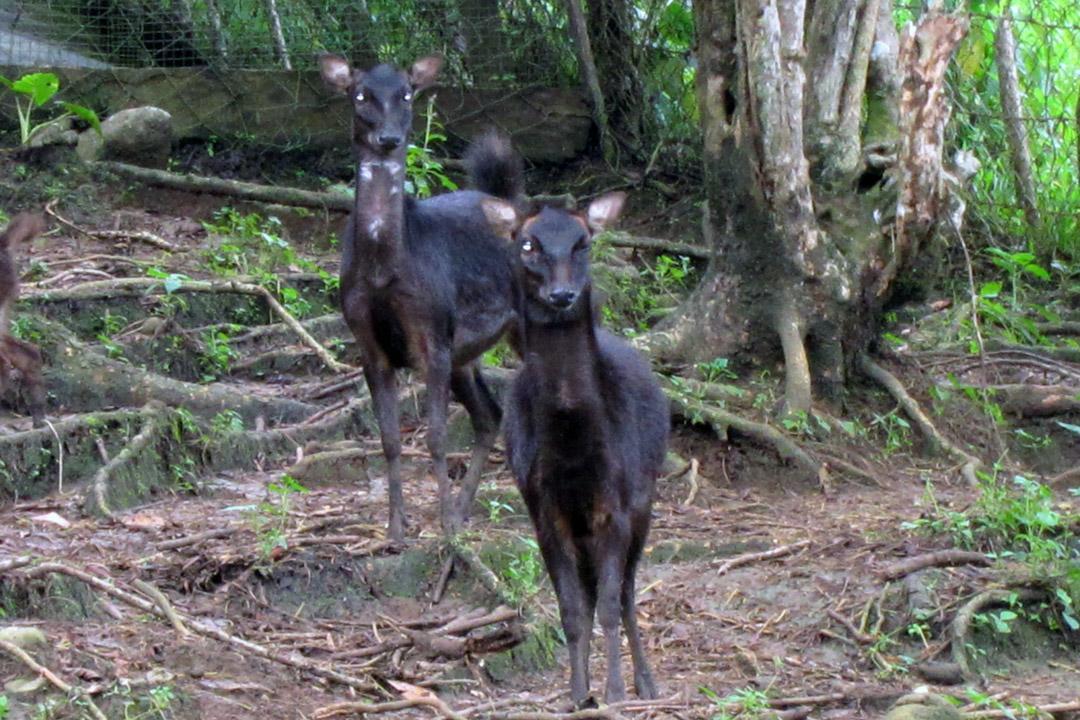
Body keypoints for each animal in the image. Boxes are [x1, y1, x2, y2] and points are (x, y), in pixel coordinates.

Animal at [317, 55, 520, 539]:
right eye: (360, 94)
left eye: (407, 94)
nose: (389, 138)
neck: (383, 272)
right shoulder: (368, 340)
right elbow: (389, 440)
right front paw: (396, 528)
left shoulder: (432, 330)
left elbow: (436, 437)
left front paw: (442, 525)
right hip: (466, 352)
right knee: (490, 414)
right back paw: (465, 509)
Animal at [481, 191, 665, 703]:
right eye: (527, 244)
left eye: (583, 242)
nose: (561, 294)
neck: (572, 451)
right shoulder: (544, 510)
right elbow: (572, 610)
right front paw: (578, 694)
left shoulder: (617, 506)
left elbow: (609, 604)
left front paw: (616, 692)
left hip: (645, 502)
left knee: (627, 591)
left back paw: (647, 683)